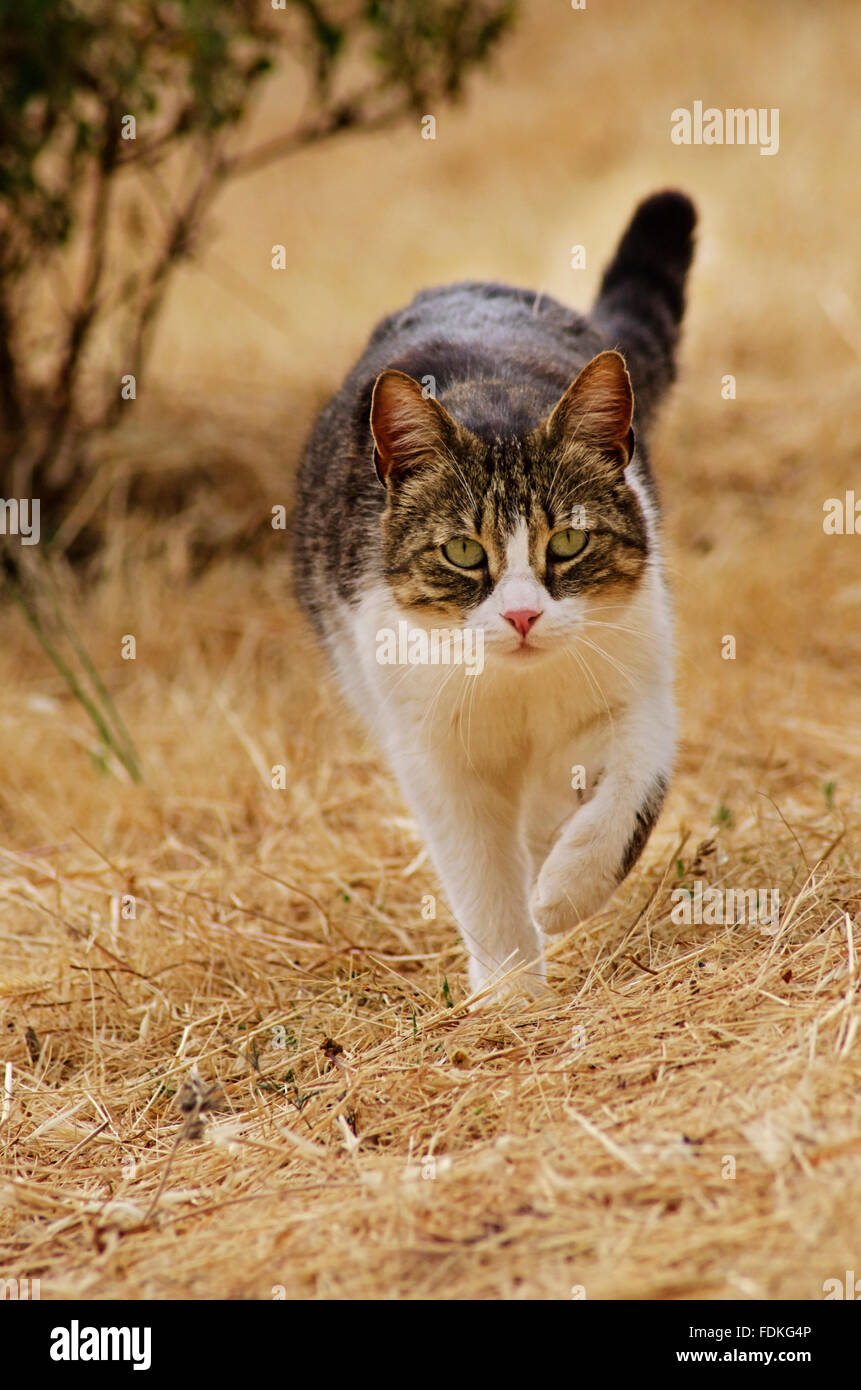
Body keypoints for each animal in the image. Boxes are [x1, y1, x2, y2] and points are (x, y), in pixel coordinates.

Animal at [293, 190, 698, 1000]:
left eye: (567, 543)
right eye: (462, 552)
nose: (521, 615)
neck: (520, 691)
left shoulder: (636, 689)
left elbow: (630, 793)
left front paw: (565, 890)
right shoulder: (434, 753)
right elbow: (480, 877)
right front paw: (512, 991)